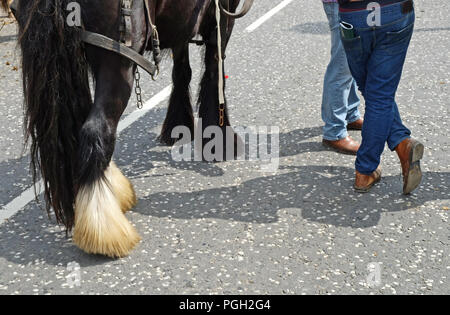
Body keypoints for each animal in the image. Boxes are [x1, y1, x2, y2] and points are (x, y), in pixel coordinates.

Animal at [3, 0, 251, 258]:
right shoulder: (224, 13)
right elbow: (215, 71)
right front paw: (219, 139)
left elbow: (183, 71)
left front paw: (178, 125)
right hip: (117, 65)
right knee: (96, 130)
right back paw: (104, 229)